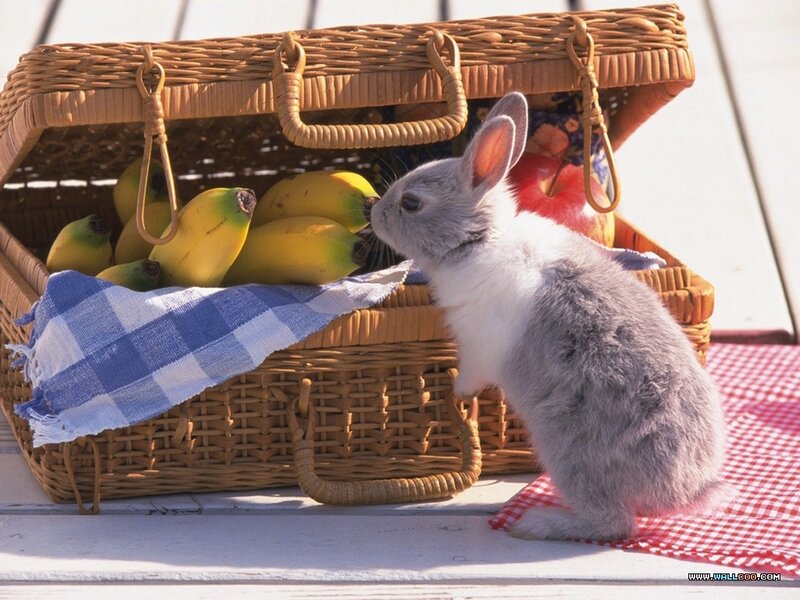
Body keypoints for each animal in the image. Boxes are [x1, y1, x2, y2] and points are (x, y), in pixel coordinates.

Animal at [368, 92, 725, 541]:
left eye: (411, 203)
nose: (373, 213)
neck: (480, 240)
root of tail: (687, 489)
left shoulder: (479, 346)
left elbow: (471, 373)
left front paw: (456, 392)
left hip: (568, 453)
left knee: (613, 522)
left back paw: (536, 522)